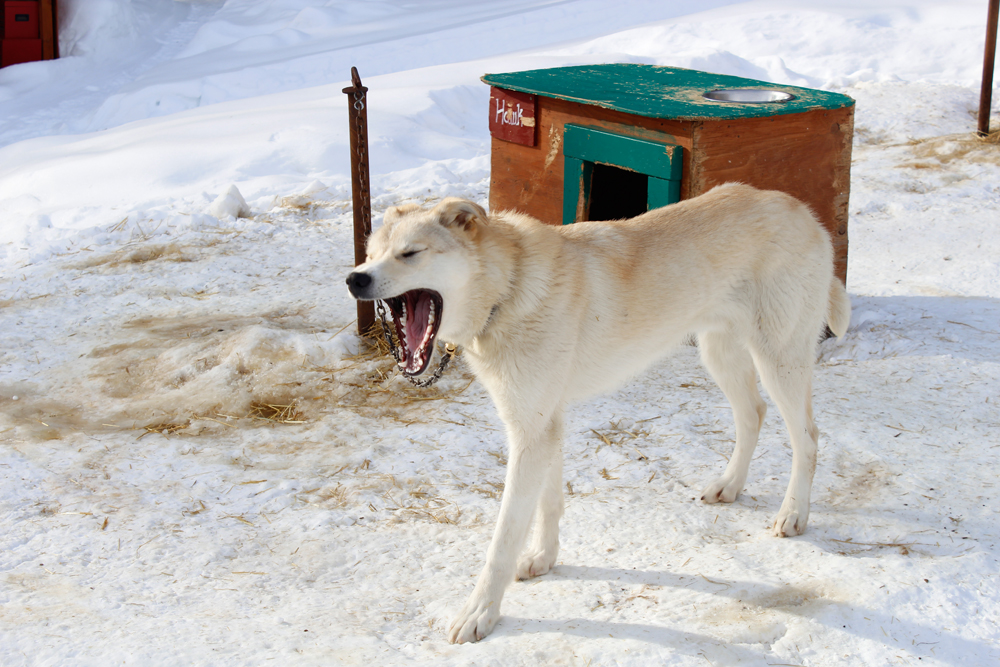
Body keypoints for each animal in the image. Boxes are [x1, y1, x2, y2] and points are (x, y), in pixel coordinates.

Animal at [346, 183, 852, 640]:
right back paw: (729, 485)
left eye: (410, 253)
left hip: (779, 361)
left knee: (807, 437)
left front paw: (479, 614)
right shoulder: (543, 425)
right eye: (370, 254)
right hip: (719, 353)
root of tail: (804, 212)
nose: (355, 278)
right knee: (753, 414)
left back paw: (793, 514)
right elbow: (548, 504)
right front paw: (545, 559)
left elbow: (503, 538)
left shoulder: (530, 433)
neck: (508, 289)